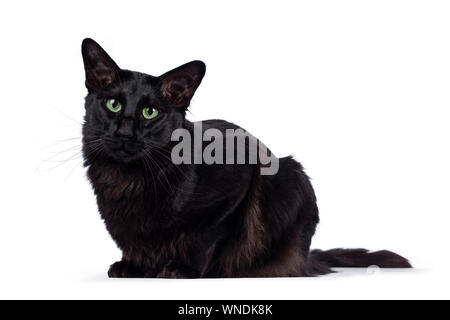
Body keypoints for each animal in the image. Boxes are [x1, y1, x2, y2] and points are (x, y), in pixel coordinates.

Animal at [81, 38, 412, 278]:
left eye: (150, 112)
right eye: (113, 104)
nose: (125, 132)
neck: (131, 179)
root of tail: (307, 258)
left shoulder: (234, 189)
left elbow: (205, 236)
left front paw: (182, 269)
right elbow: (135, 243)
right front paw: (132, 266)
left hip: (290, 175)